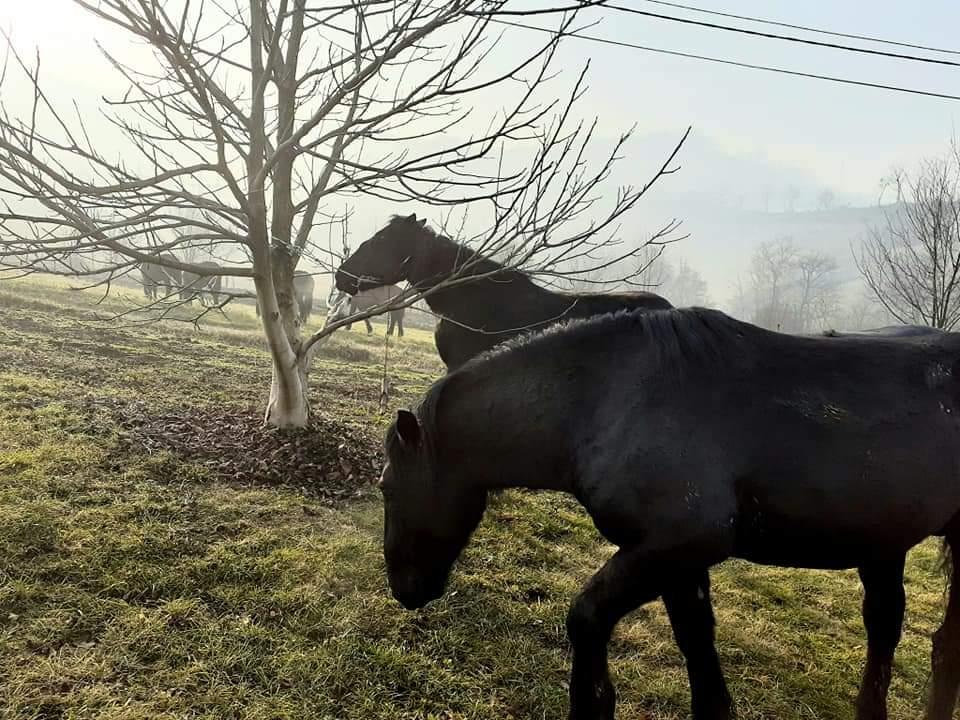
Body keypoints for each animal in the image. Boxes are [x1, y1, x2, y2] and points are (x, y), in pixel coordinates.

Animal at [380, 306, 960, 720]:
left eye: (386, 486)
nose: (404, 589)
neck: (603, 399)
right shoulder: (677, 561)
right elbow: (698, 649)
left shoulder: (676, 546)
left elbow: (586, 621)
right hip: (882, 541)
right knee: (885, 626)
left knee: (944, 645)